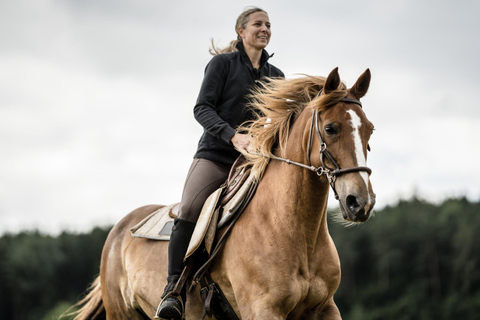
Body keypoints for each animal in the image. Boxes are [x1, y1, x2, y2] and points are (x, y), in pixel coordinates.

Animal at [73, 68, 376, 320]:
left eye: (370, 130)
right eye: (330, 129)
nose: (360, 202)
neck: (294, 230)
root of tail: (120, 229)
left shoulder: (325, 308)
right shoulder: (263, 310)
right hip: (122, 314)